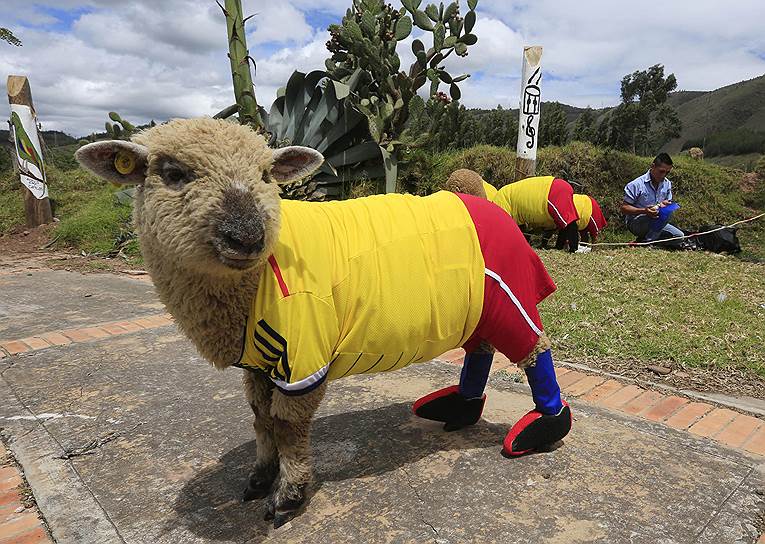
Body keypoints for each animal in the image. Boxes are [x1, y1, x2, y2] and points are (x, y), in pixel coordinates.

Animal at [77, 118, 572, 528]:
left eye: (265, 176)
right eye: (174, 173)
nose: (247, 236)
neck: (254, 280)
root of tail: (478, 197)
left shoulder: (303, 352)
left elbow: (286, 425)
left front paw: (288, 496)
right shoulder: (259, 363)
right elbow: (259, 417)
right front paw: (260, 476)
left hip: (505, 294)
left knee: (534, 351)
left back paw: (545, 426)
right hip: (475, 306)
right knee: (481, 352)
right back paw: (460, 408)